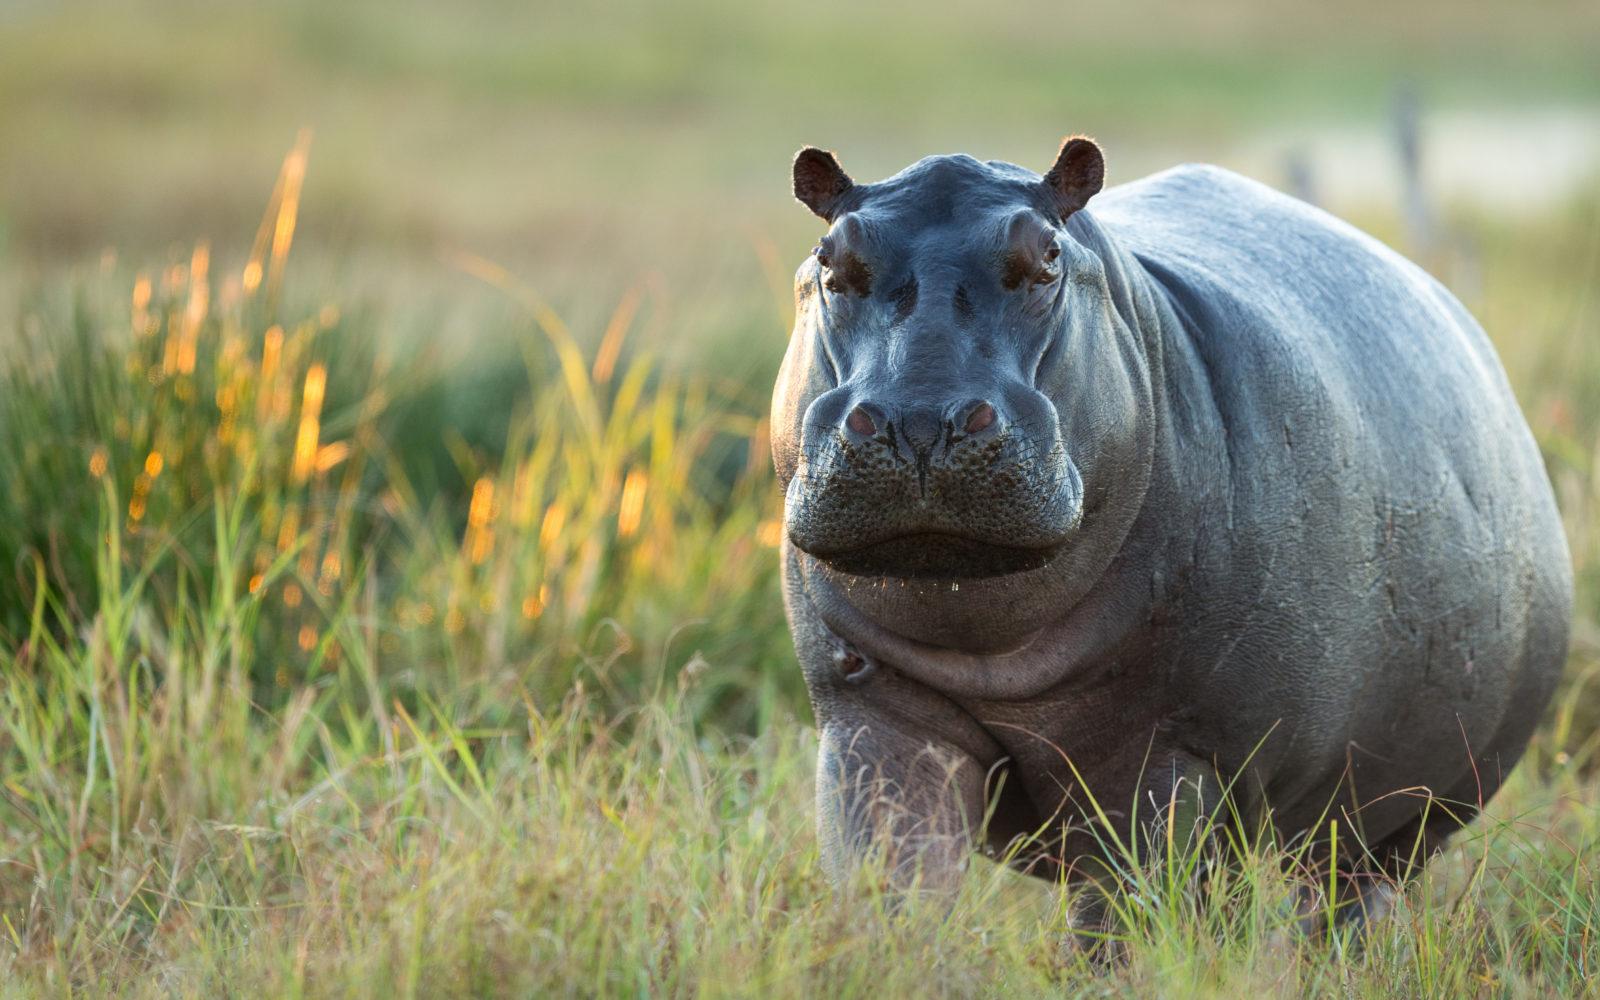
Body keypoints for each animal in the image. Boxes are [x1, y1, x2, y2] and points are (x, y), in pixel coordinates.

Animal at [771, 137, 1572, 922]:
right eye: (828, 257)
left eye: (1048, 256)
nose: (919, 420)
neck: (990, 649)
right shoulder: (873, 717)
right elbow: (890, 884)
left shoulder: (1172, 757)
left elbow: (1131, 913)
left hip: (1401, 818)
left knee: (1347, 899)